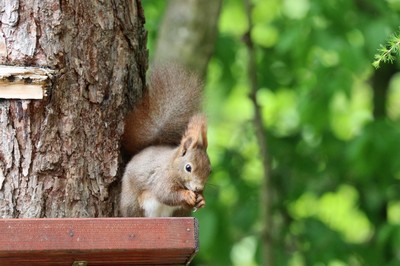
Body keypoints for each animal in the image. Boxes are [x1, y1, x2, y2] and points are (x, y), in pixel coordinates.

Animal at [119, 65, 211, 217]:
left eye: (210, 170)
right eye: (188, 168)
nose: (198, 188)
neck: (172, 165)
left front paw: (201, 199)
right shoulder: (161, 178)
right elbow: (166, 194)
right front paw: (187, 195)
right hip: (132, 202)